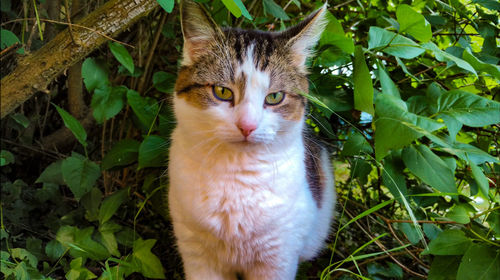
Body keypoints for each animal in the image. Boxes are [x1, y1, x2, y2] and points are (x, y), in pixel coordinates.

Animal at [168, 1, 336, 278]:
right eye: (222, 92)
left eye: (275, 97)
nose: (247, 125)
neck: (236, 174)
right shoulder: (196, 253)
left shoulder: (278, 258)